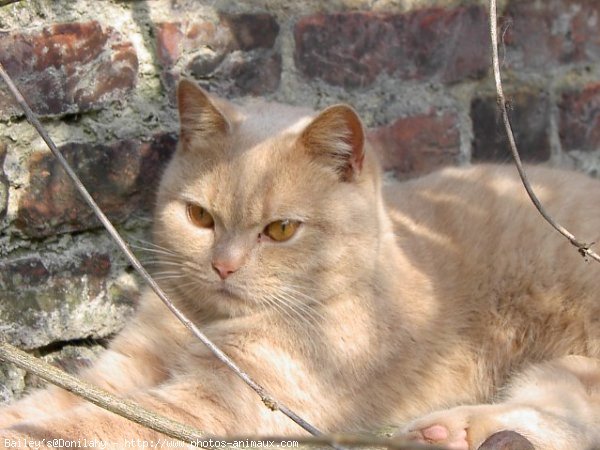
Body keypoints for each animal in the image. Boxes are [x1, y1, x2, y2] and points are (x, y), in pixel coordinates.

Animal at [1, 79, 600, 448]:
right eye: (199, 217)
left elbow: (89, 425)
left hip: (566, 365)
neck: (206, 322)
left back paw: (449, 432)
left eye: (281, 230)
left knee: (562, 421)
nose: (223, 267)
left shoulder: (216, 408)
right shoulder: (121, 369)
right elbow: (49, 404)